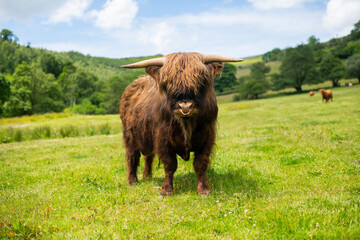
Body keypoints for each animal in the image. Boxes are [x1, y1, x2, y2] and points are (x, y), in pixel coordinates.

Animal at [119, 52, 243, 195]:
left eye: (200, 81)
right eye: (168, 83)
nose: (185, 106)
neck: (187, 123)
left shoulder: (207, 137)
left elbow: (200, 164)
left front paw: (203, 189)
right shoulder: (163, 139)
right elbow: (170, 164)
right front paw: (167, 190)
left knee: (148, 157)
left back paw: (148, 176)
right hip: (130, 136)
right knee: (132, 156)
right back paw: (132, 181)